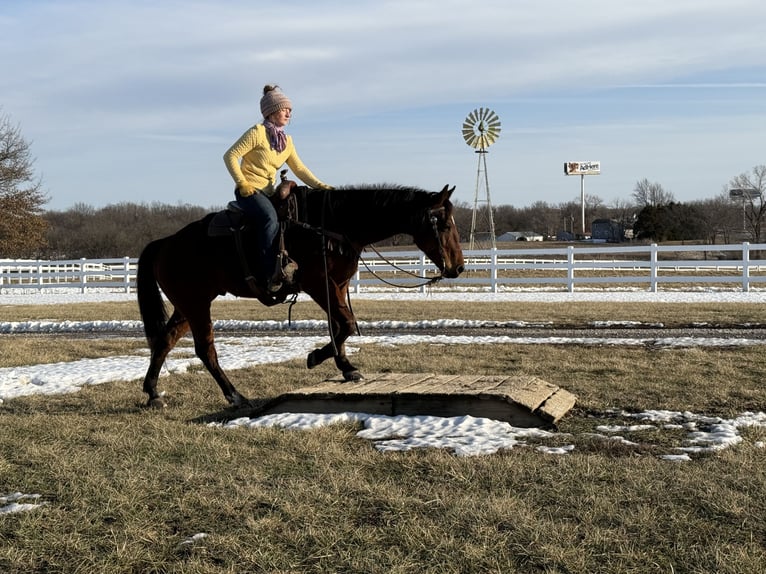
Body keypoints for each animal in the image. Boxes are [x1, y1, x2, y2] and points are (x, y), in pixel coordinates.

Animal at [135, 184, 464, 410]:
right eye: (445, 224)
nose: (459, 267)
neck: (331, 226)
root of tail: (165, 243)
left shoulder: (338, 285)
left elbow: (339, 326)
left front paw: (346, 367)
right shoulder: (318, 283)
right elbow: (346, 324)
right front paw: (316, 357)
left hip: (187, 305)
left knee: (165, 341)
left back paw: (153, 393)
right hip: (197, 304)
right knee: (206, 350)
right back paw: (236, 396)